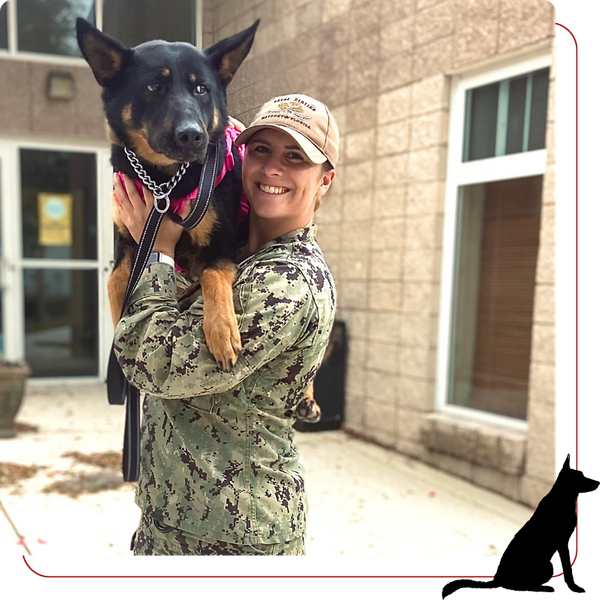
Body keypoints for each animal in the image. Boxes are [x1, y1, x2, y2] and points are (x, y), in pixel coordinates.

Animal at [75, 17, 258, 370]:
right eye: (153, 87)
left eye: (201, 89)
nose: (192, 136)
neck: (164, 181)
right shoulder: (127, 243)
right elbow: (114, 284)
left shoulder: (220, 246)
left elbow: (213, 276)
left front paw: (221, 331)